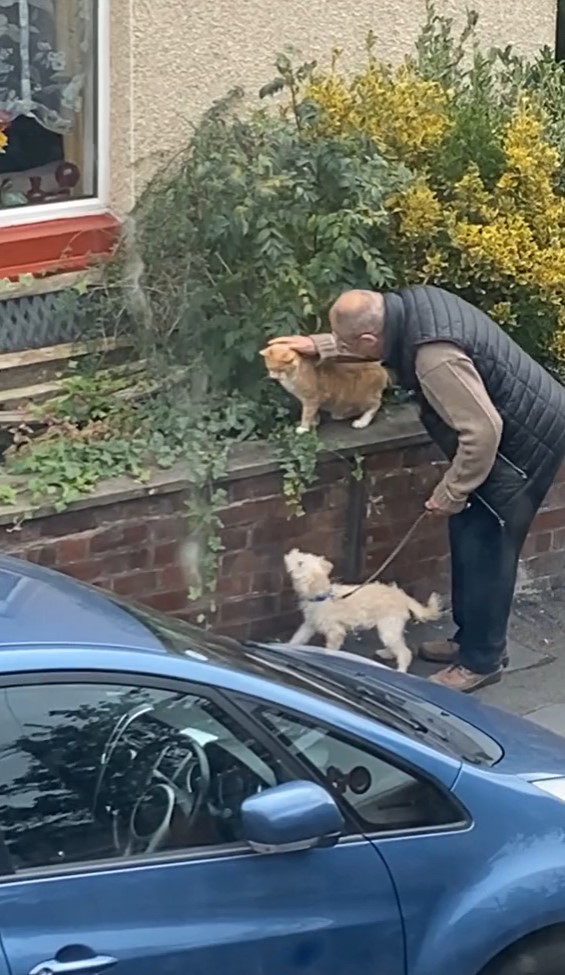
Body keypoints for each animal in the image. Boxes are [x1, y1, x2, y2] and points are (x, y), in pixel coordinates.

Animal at [258, 346, 388, 432]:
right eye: (270, 368)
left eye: (280, 369)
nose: (274, 377)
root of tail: (377, 364)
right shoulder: (312, 401)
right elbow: (313, 412)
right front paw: (314, 422)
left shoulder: (312, 398)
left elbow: (307, 413)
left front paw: (304, 428)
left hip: (360, 396)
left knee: (376, 404)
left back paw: (361, 422)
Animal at [284, 548, 442, 672]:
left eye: (300, 563)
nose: (292, 551)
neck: (322, 597)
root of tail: (402, 596)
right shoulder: (309, 625)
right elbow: (298, 638)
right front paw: (286, 648)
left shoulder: (335, 632)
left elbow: (330, 649)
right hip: (391, 627)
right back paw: (386, 653)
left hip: (388, 626)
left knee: (404, 652)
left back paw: (401, 670)